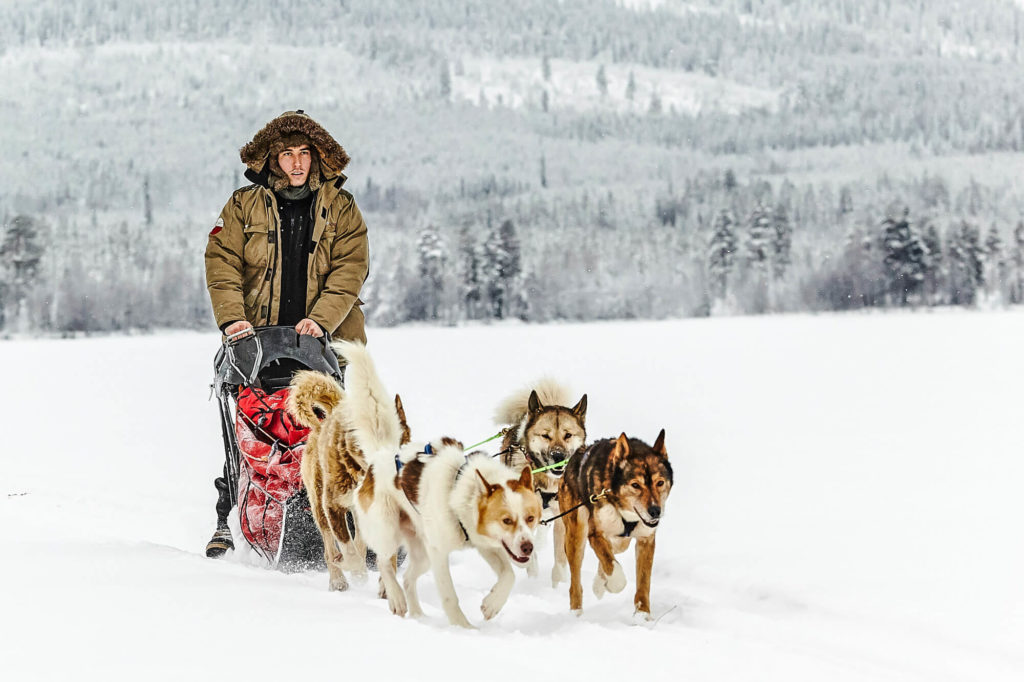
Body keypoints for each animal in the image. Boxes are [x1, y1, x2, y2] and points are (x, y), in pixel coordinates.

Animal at [286, 366, 409, 589]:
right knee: (329, 546)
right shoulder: (332, 507)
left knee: (359, 541)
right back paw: (338, 579)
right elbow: (348, 552)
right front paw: (350, 567)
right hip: (318, 506)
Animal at [337, 339, 544, 626]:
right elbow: (449, 596)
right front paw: (463, 628)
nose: (528, 546)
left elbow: (509, 575)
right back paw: (396, 599)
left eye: (531, 518)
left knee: (408, 577)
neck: (459, 489)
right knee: (384, 563)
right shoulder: (438, 551)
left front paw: (492, 605)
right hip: (389, 532)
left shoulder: (484, 544)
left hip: (420, 551)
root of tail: (383, 453)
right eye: (506, 520)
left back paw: (418, 615)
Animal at [493, 378, 589, 581]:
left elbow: (560, 559)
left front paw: (559, 582)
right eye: (545, 435)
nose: (558, 456)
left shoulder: (562, 516)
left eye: (568, 435)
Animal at [561, 432, 671, 618]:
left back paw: (599, 583)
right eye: (635, 485)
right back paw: (576, 612)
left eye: (660, 482)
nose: (655, 511)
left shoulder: (646, 539)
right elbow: (611, 564)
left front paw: (642, 615)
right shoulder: (595, 533)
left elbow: (643, 582)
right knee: (575, 581)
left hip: (619, 539)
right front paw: (614, 584)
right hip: (576, 533)